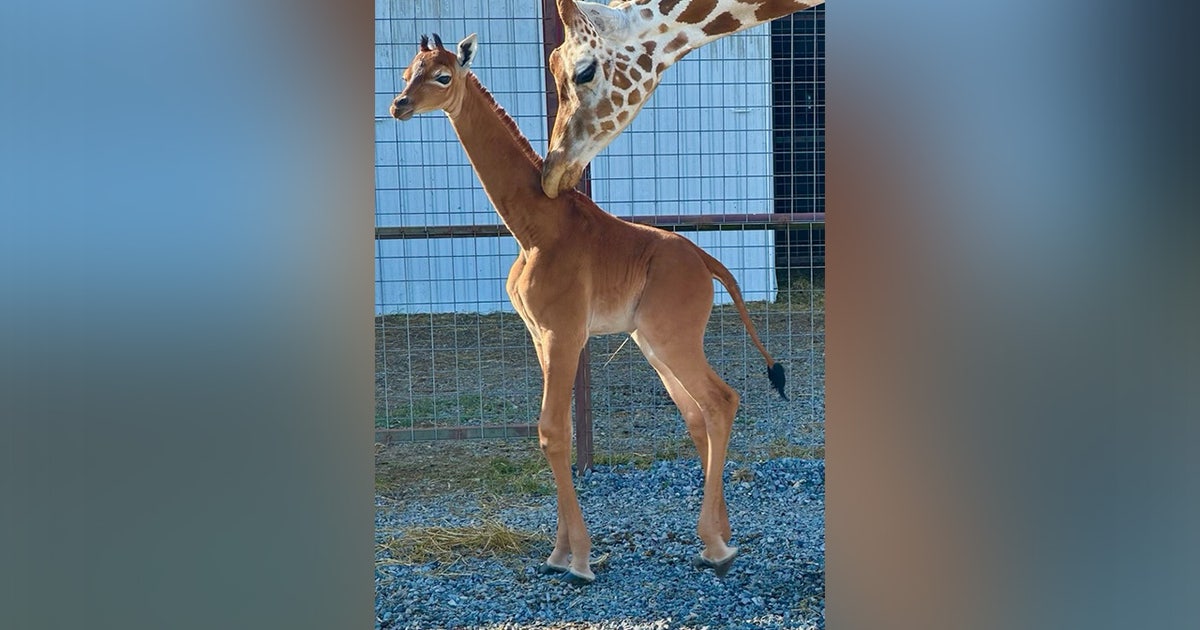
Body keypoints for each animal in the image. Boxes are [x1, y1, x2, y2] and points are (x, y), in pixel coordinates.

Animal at [390, 33, 787, 585]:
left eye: (443, 76)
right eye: (407, 71)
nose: (399, 105)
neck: (534, 228)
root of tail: (708, 262)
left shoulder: (564, 332)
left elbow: (553, 431)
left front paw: (577, 559)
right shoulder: (541, 335)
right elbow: (555, 432)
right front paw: (559, 553)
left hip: (672, 337)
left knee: (721, 400)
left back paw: (715, 546)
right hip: (652, 342)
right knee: (697, 412)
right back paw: (722, 536)